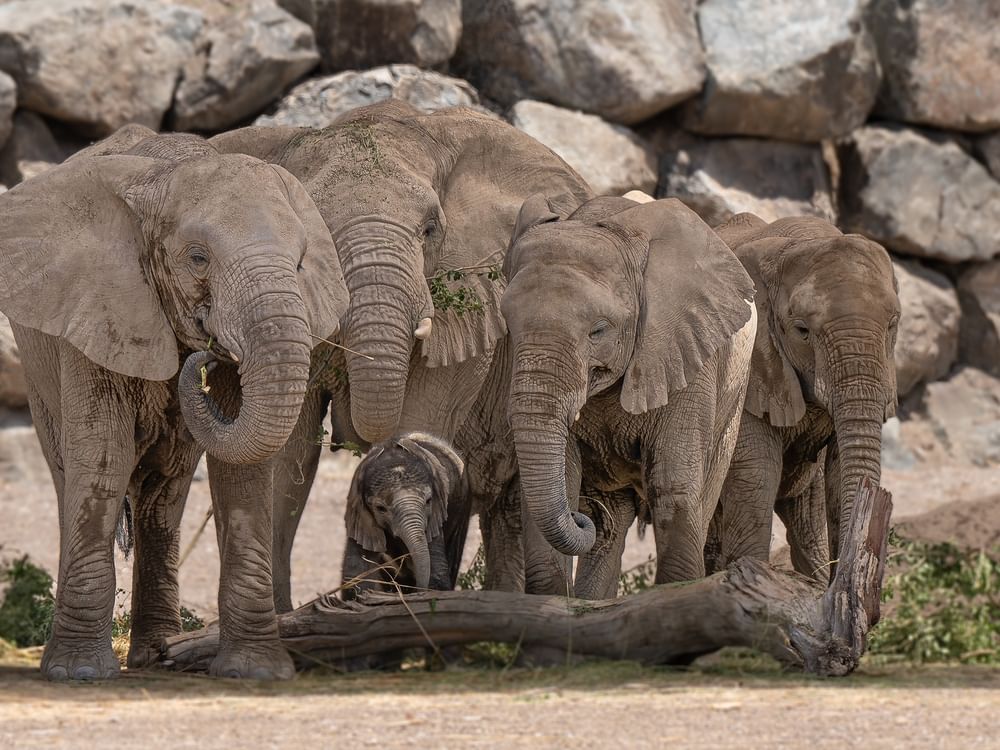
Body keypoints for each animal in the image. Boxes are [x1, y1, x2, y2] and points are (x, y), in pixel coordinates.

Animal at [0, 131, 348, 680]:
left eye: (298, 264)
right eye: (199, 258)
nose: (206, 353)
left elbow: (241, 475)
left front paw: (256, 672)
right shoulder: (97, 310)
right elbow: (104, 459)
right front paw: (79, 674)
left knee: (164, 494)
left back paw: (156, 654)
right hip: (39, 372)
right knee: (70, 474)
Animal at [460, 197, 756, 596]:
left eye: (598, 331)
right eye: (509, 322)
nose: (579, 517)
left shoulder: (690, 358)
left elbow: (674, 490)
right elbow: (563, 479)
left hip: (733, 402)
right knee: (611, 524)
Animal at [708, 212, 904, 580]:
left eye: (892, 325)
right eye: (802, 331)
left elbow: (839, 474)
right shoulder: (748, 365)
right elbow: (756, 474)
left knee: (808, 518)